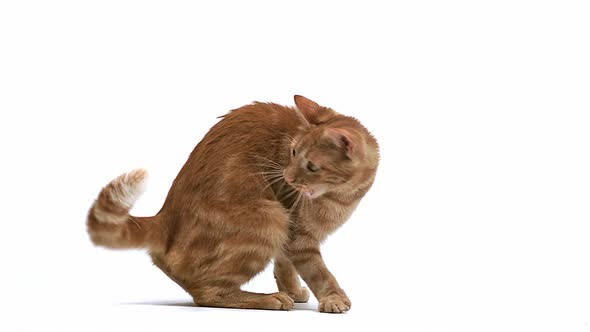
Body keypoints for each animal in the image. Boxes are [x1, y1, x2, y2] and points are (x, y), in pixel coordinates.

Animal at [88, 94, 384, 312]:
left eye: (311, 166)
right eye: (292, 152)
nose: (286, 177)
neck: (343, 196)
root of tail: (164, 218)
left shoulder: (289, 236)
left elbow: (284, 265)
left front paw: (293, 289)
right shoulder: (297, 233)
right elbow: (319, 272)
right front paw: (333, 298)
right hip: (269, 217)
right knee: (207, 293)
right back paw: (269, 299)